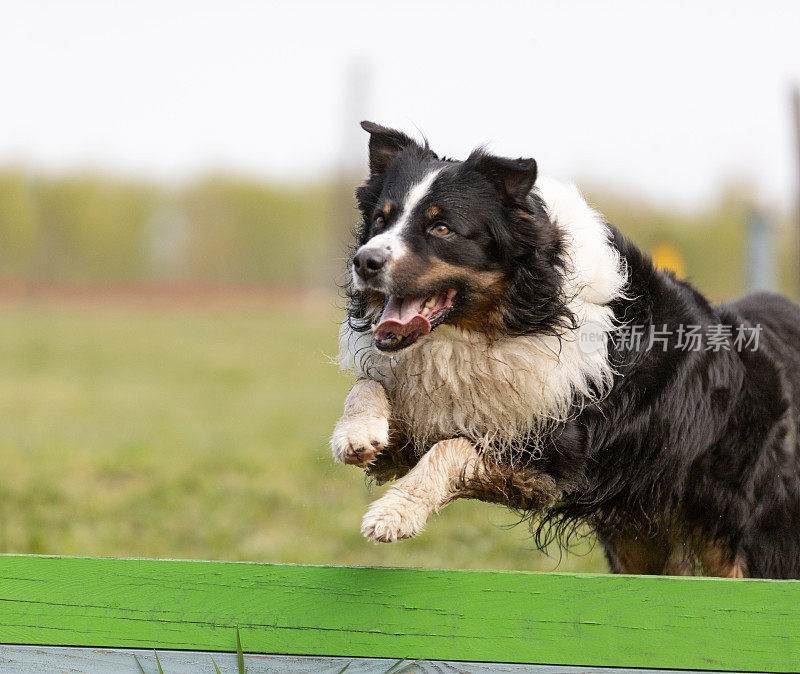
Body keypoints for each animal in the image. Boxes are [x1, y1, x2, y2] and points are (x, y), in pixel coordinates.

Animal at [328, 121, 800, 576]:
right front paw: (356, 433)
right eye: (380, 221)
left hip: (738, 531)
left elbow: (454, 448)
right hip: (639, 535)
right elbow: (368, 386)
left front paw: (393, 514)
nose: (364, 262)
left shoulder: (551, 455)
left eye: (441, 228)